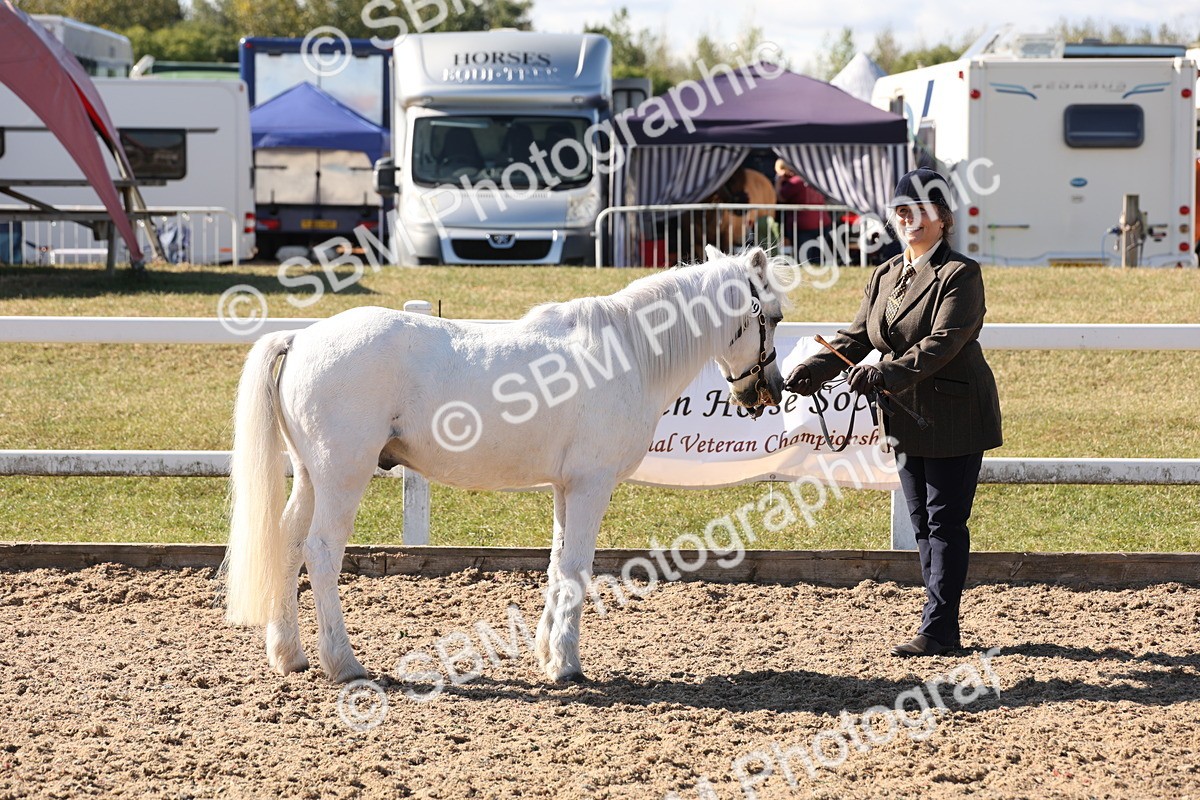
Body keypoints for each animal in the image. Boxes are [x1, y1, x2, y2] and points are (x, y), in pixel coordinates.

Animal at [223, 247, 791, 684]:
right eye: (776, 316)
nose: (770, 389)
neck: (626, 351)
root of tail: (302, 337)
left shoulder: (566, 488)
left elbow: (558, 564)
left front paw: (545, 652)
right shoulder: (591, 486)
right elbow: (578, 567)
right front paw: (566, 665)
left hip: (310, 476)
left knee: (287, 543)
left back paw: (289, 655)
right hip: (343, 476)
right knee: (320, 553)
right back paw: (343, 663)